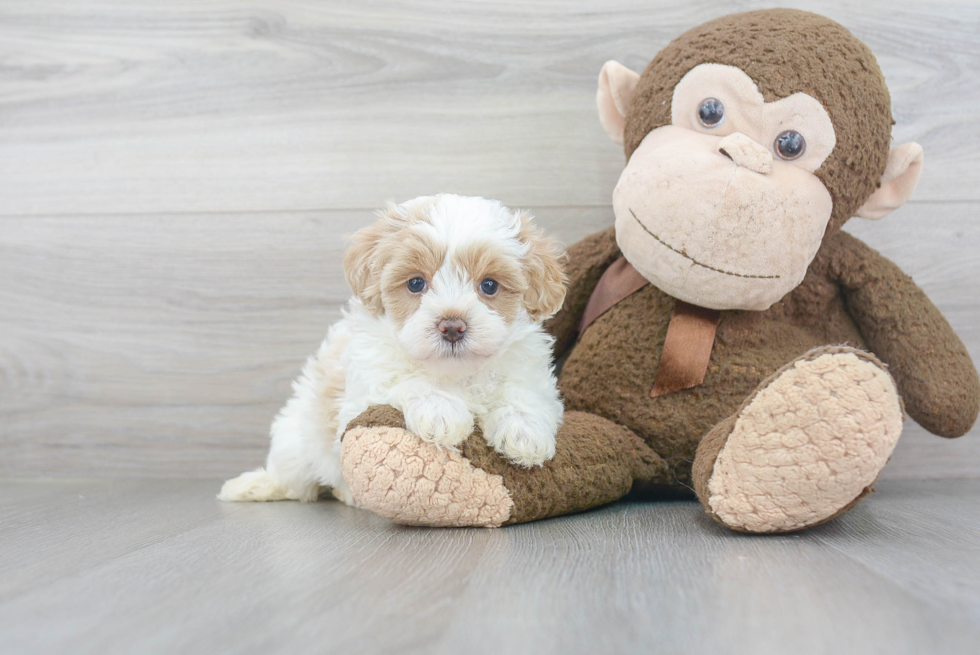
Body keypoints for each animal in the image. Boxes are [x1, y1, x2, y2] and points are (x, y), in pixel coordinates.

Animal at [218, 192, 564, 504]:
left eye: (489, 285)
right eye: (416, 283)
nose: (452, 326)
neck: (453, 373)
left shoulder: (530, 373)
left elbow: (523, 394)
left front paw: (524, 432)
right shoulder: (360, 394)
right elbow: (405, 383)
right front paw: (440, 411)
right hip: (296, 439)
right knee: (295, 481)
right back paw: (256, 486)